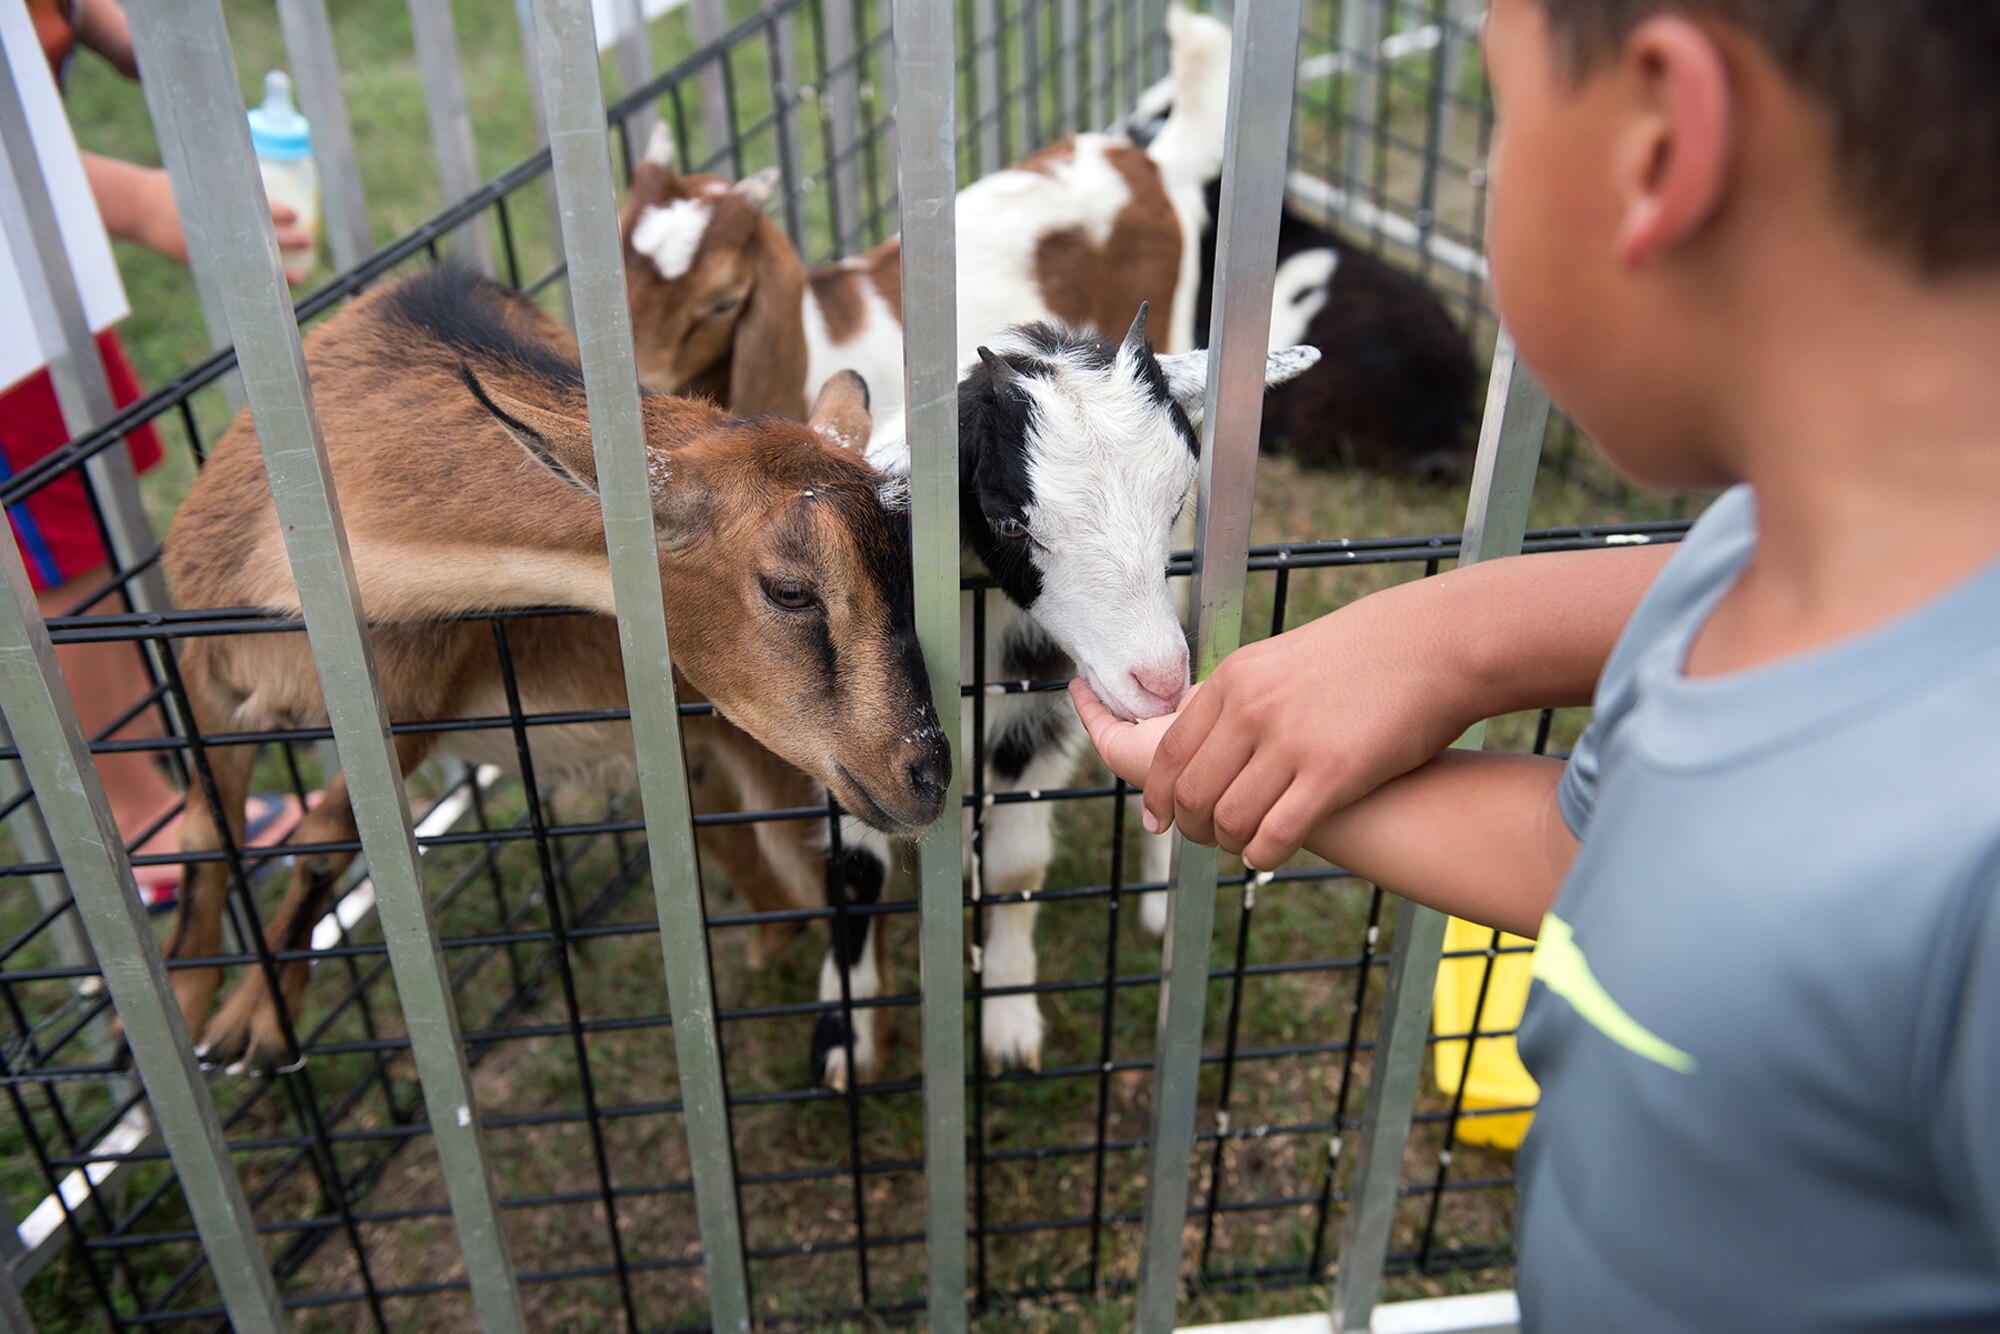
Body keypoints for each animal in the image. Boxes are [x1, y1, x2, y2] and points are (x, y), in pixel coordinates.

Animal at [158, 272, 944, 1072]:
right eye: (789, 590)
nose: (928, 774)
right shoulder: (206, 669)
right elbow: (203, 831)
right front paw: (187, 1016)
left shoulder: (415, 702)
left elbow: (321, 838)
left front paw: (251, 1029)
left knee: (850, 874)